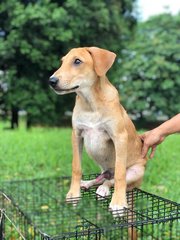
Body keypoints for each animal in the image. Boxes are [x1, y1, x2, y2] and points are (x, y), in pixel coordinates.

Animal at [48, 47, 146, 218]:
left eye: (77, 61)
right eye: (62, 61)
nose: (51, 81)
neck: (90, 104)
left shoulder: (119, 137)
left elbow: (120, 174)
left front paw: (118, 202)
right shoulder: (76, 135)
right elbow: (76, 167)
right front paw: (73, 193)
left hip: (137, 171)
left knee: (114, 180)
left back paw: (104, 190)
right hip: (103, 170)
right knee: (101, 178)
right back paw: (88, 183)